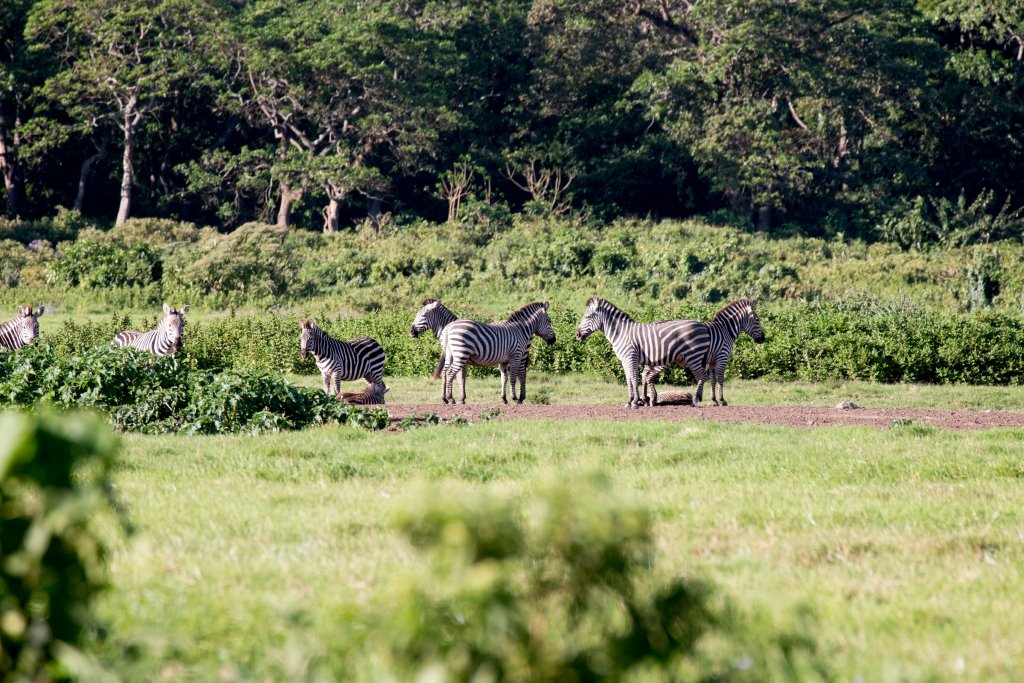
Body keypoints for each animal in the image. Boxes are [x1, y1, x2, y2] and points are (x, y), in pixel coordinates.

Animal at [575, 297, 710, 409]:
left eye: (587, 317)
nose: (577, 335)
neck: (620, 333)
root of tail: (702, 325)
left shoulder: (631, 357)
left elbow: (634, 379)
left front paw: (635, 402)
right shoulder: (624, 360)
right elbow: (629, 380)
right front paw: (629, 401)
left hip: (693, 356)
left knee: (702, 375)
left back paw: (695, 400)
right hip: (693, 357)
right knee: (701, 376)